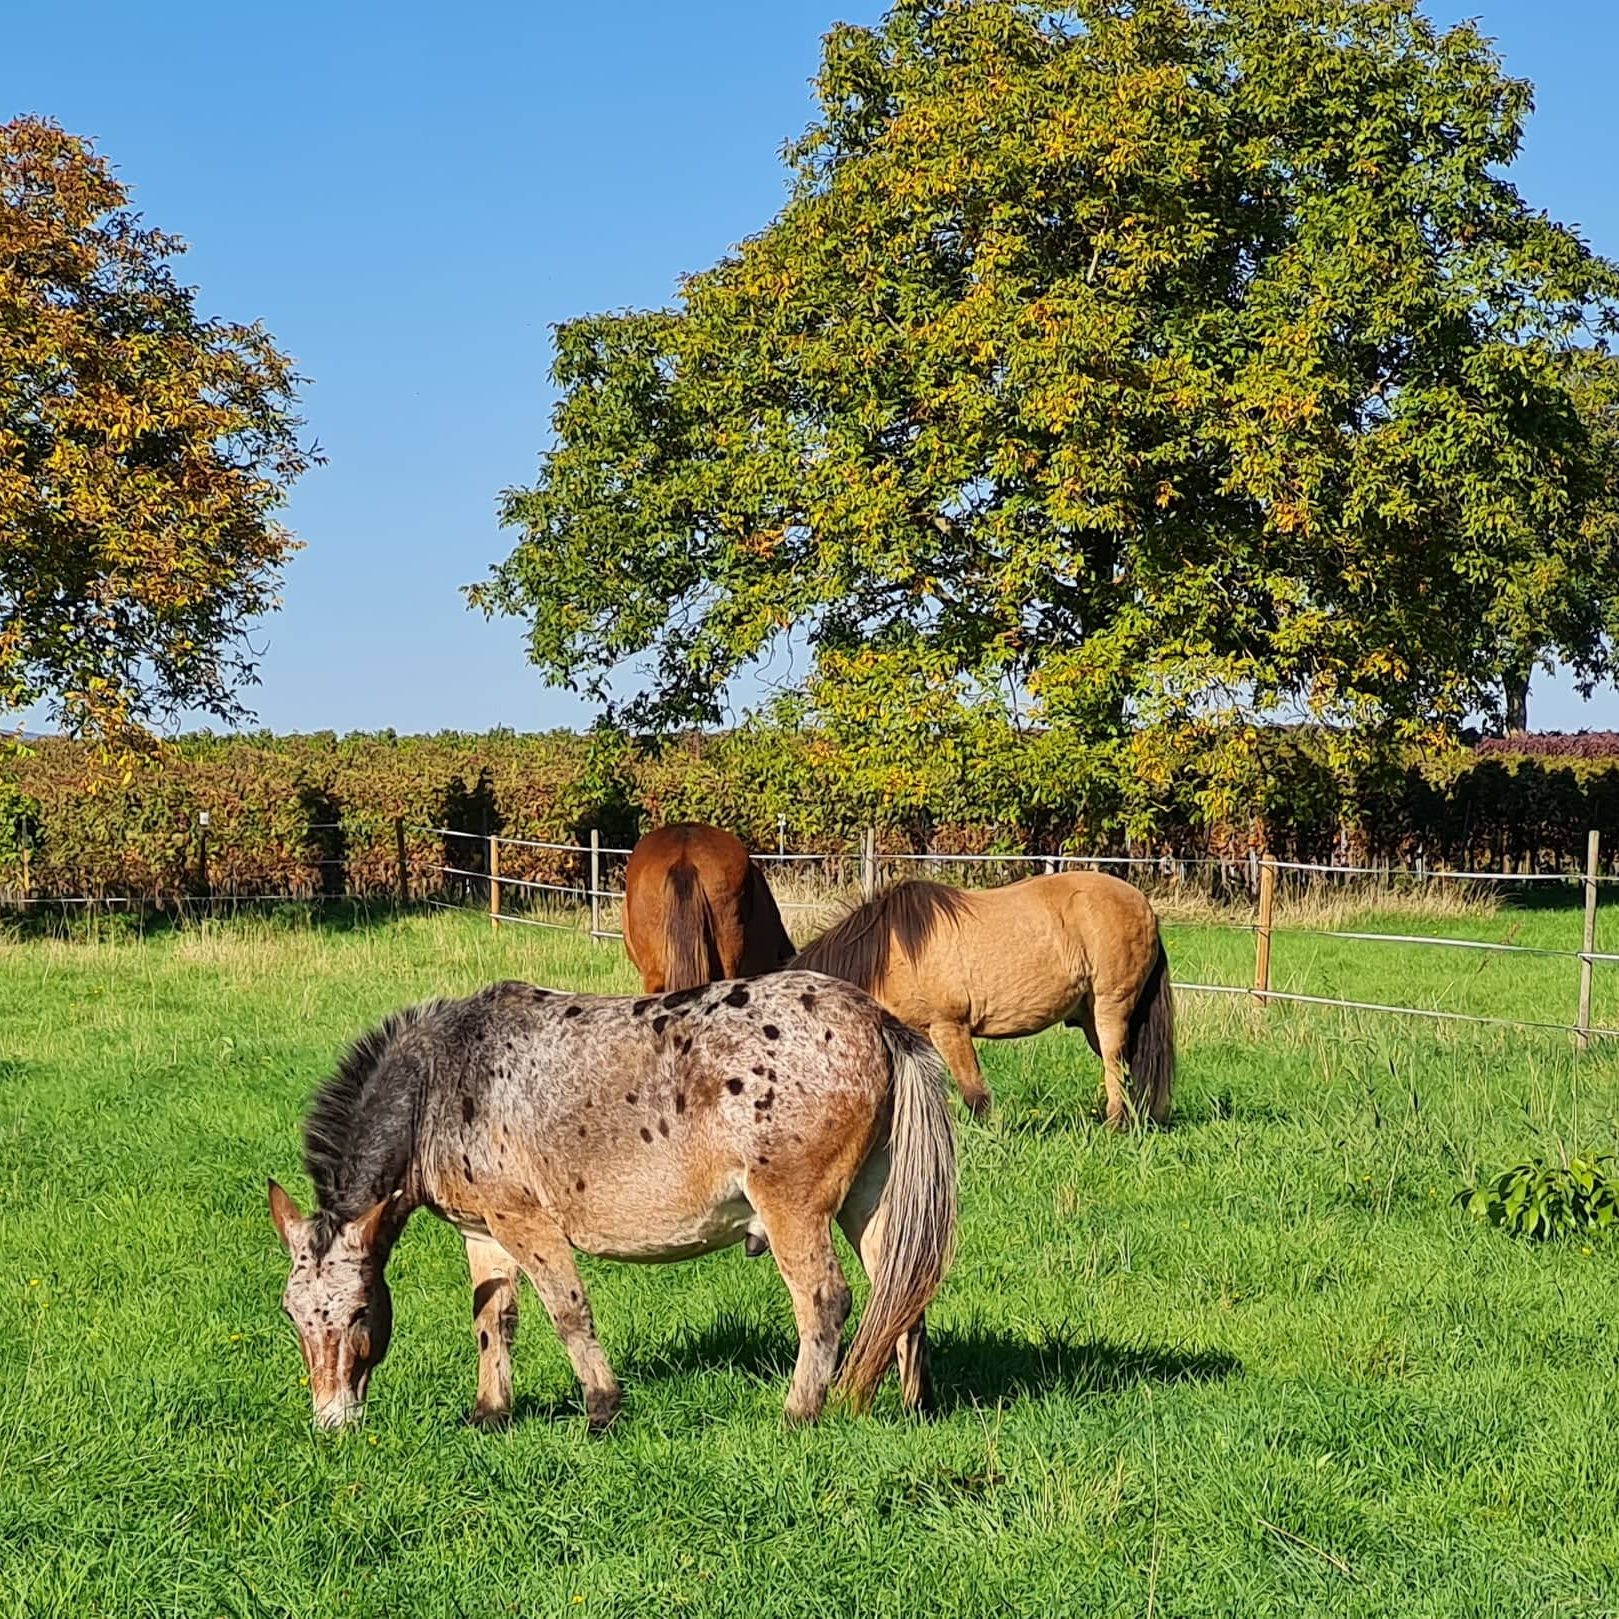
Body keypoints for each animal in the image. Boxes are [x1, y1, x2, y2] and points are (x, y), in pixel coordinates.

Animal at [267, 973, 956, 1431]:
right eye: (293, 1316)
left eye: (360, 1312)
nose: (331, 1421)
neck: (442, 1079)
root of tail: (878, 1021)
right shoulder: (483, 1232)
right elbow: (492, 1321)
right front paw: (491, 1413)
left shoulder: (527, 1224)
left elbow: (568, 1314)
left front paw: (601, 1408)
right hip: (872, 1205)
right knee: (902, 1290)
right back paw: (910, 1406)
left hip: (793, 1211)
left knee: (825, 1301)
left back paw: (800, 1411)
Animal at [789, 872, 1174, 1130]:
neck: (887, 955)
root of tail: (1145, 908)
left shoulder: (949, 1028)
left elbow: (974, 1093)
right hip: (1093, 1016)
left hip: (1112, 1007)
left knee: (1115, 1064)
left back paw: (1116, 1125)